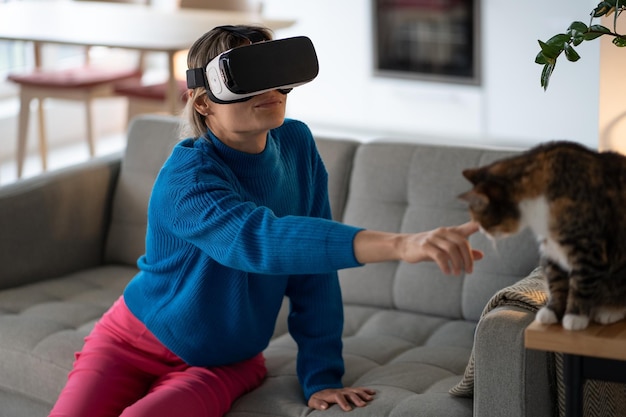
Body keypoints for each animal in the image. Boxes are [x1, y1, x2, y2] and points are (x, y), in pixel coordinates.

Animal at [456, 141, 624, 330]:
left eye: (481, 219)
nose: (482, 231)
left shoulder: (588, 246)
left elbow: (581, 283)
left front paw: (574, 317)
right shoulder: (550, 249)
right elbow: (557, 282)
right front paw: (552, 312)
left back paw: (609, 311)